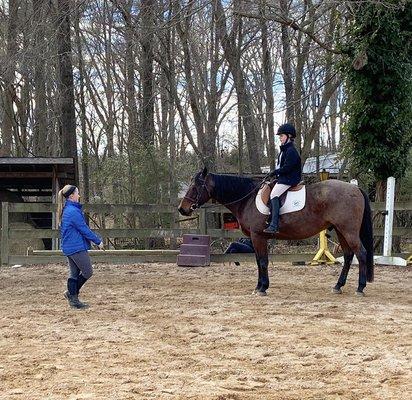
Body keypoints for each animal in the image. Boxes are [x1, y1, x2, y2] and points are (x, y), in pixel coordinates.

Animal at [177, 167, 374, 296]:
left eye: (195, 187)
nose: (182, 209)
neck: (247, 198)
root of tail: (355, 187)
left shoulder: (258, 236)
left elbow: (263, 262)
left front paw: (263, 288)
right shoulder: (256, 238)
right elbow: (258, 261)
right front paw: (258, 287)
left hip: (349, 231)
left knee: (361, 254)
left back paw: (360, 288)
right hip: (341, 231)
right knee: (348, 256)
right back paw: (338, 286)